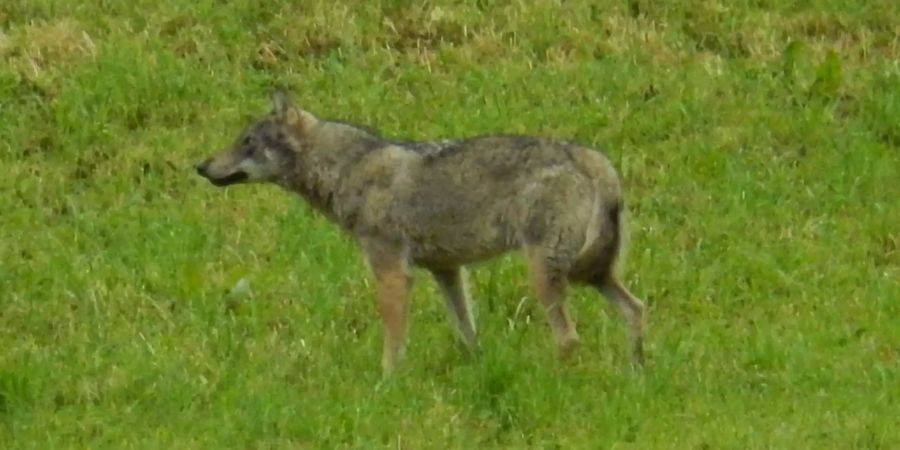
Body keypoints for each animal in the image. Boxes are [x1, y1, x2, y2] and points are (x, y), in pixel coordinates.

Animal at [195, 89, 648, 374]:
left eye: (248, 142)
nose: (201, 166)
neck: (349, 171)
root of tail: (591, 159)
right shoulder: (446, 270)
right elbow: (467, 331)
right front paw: (476, 371)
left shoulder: (393, 271)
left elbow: (393, 341)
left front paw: (386, 384)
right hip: (590, 275)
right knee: (636, 308)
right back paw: (637, 374)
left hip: (547, 275)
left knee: (570, 338)